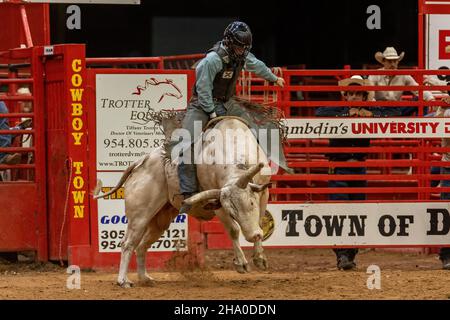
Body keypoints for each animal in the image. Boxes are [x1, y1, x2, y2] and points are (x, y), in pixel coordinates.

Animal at [93, 117, 270, 288]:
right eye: (232, 212)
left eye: (251, 204)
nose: (253, 235)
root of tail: (140, 162)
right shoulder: (217, 202)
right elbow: (233, 229)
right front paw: (241, 263)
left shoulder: (264, 192)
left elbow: (260, 220)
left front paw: (260, 258)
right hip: (139, 216)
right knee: (127, 244)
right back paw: (123, 281)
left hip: (160, 220)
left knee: (142, 246)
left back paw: (145, 278)